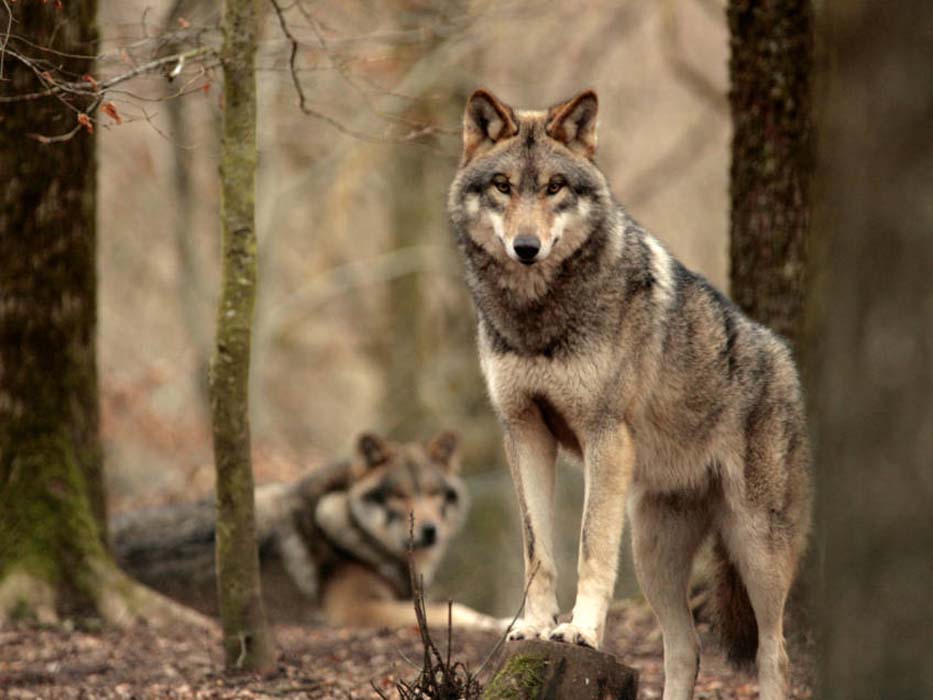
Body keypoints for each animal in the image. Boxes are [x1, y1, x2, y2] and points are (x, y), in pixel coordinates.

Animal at [112, 430, 498, 632]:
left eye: (434, 494)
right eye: (400, 496)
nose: (430, 530)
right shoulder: (354, 610)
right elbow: (452, 611)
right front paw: (501, 623)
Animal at [444, 89, 808, 700]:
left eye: (554, 187)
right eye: (502, 185)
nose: (526, 247)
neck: (537, 316)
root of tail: (786, 359)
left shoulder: (604, 436)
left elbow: (590, 544)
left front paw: (581, 632)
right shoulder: (523, 431)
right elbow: (537, 549)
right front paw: (533, 626)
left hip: (755, 548)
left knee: (774, 655)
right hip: (653, 552)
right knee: (685, 649)